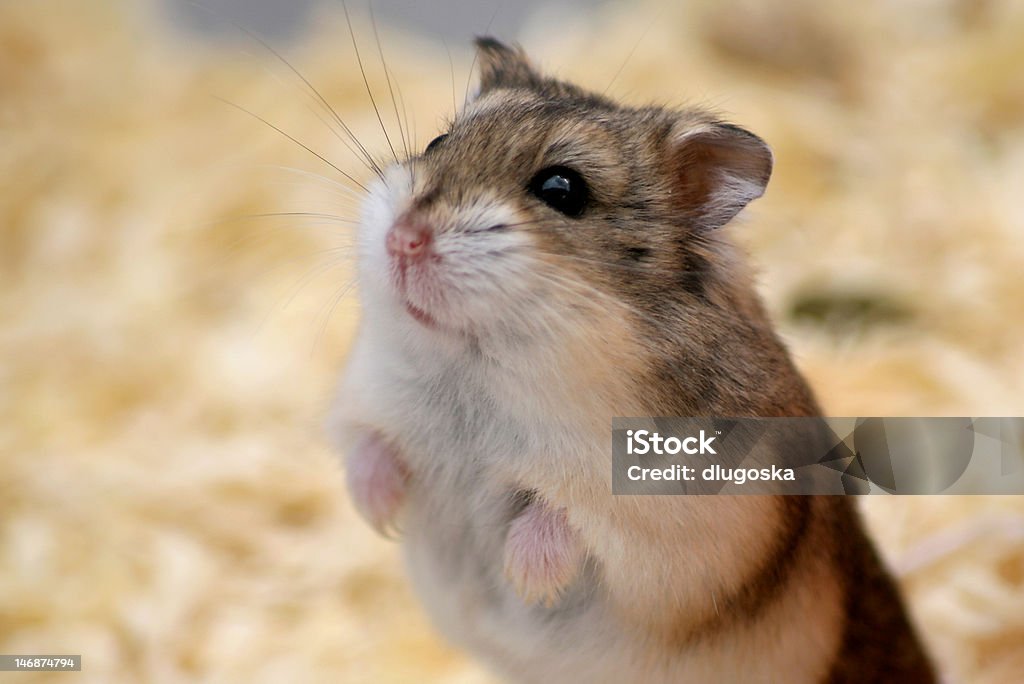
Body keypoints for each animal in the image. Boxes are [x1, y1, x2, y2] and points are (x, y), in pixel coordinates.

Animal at [329, 38, 937, 684]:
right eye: (437, 143)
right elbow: (366, 447)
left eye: (562, 189)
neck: (475, 368)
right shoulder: (361, 397)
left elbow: (561, 519)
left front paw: (528, 580)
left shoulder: (664, 519)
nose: (403, 240)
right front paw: (382, 517)